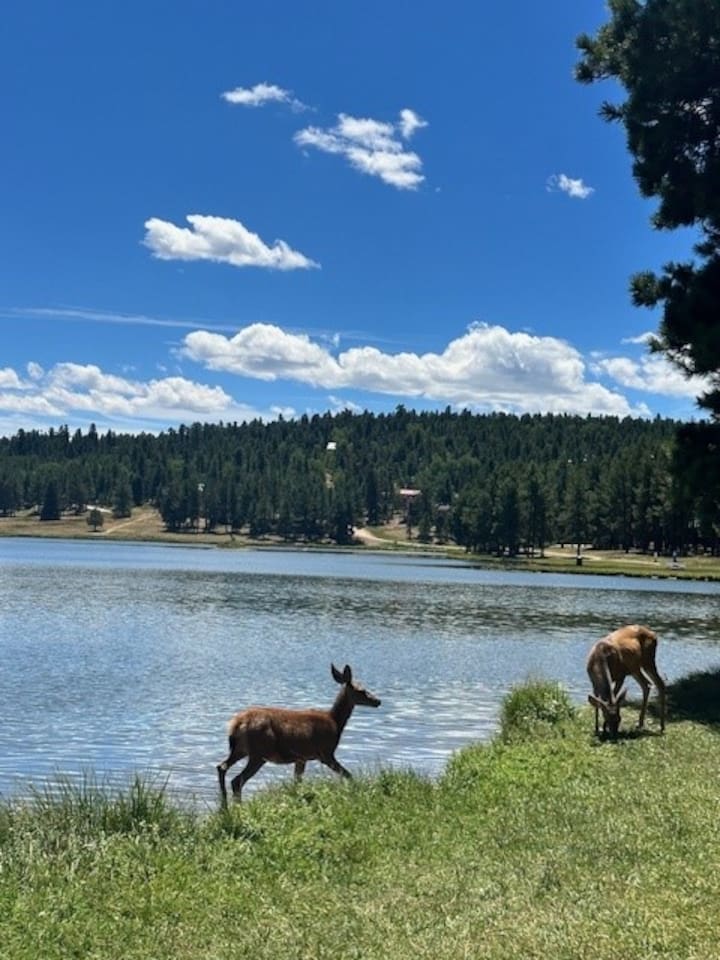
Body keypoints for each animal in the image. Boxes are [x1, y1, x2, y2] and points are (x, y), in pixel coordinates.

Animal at [216, 663, 381, 802]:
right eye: (361, 691)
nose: (378, 701)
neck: (335, 721)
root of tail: (237, 724)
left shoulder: (301, 758)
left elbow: (297, 782)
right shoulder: (326, 753)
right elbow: (348, 774)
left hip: (240, 750)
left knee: (221, 767)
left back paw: (224, 807)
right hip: (259, 752)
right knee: (237, 780)